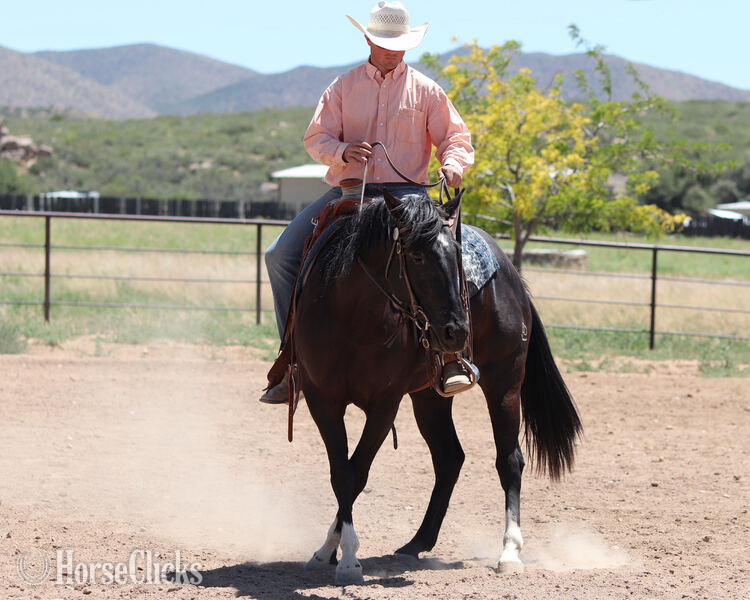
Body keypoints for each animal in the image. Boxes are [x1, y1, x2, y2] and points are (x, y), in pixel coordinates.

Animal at [292, 189, 582, 584]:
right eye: (415, 255)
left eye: (455, 256)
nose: (457, 332)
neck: (353, 321)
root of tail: (511, 273)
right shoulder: (322, 400)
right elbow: (342, 473)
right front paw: (327, 552)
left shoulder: (384, 405)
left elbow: (357, 473)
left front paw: (349, 557)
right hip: (430, 397)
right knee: (449, 458)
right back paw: (417, 542)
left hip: (504, 383)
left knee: (509, 460)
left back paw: (509, 551)